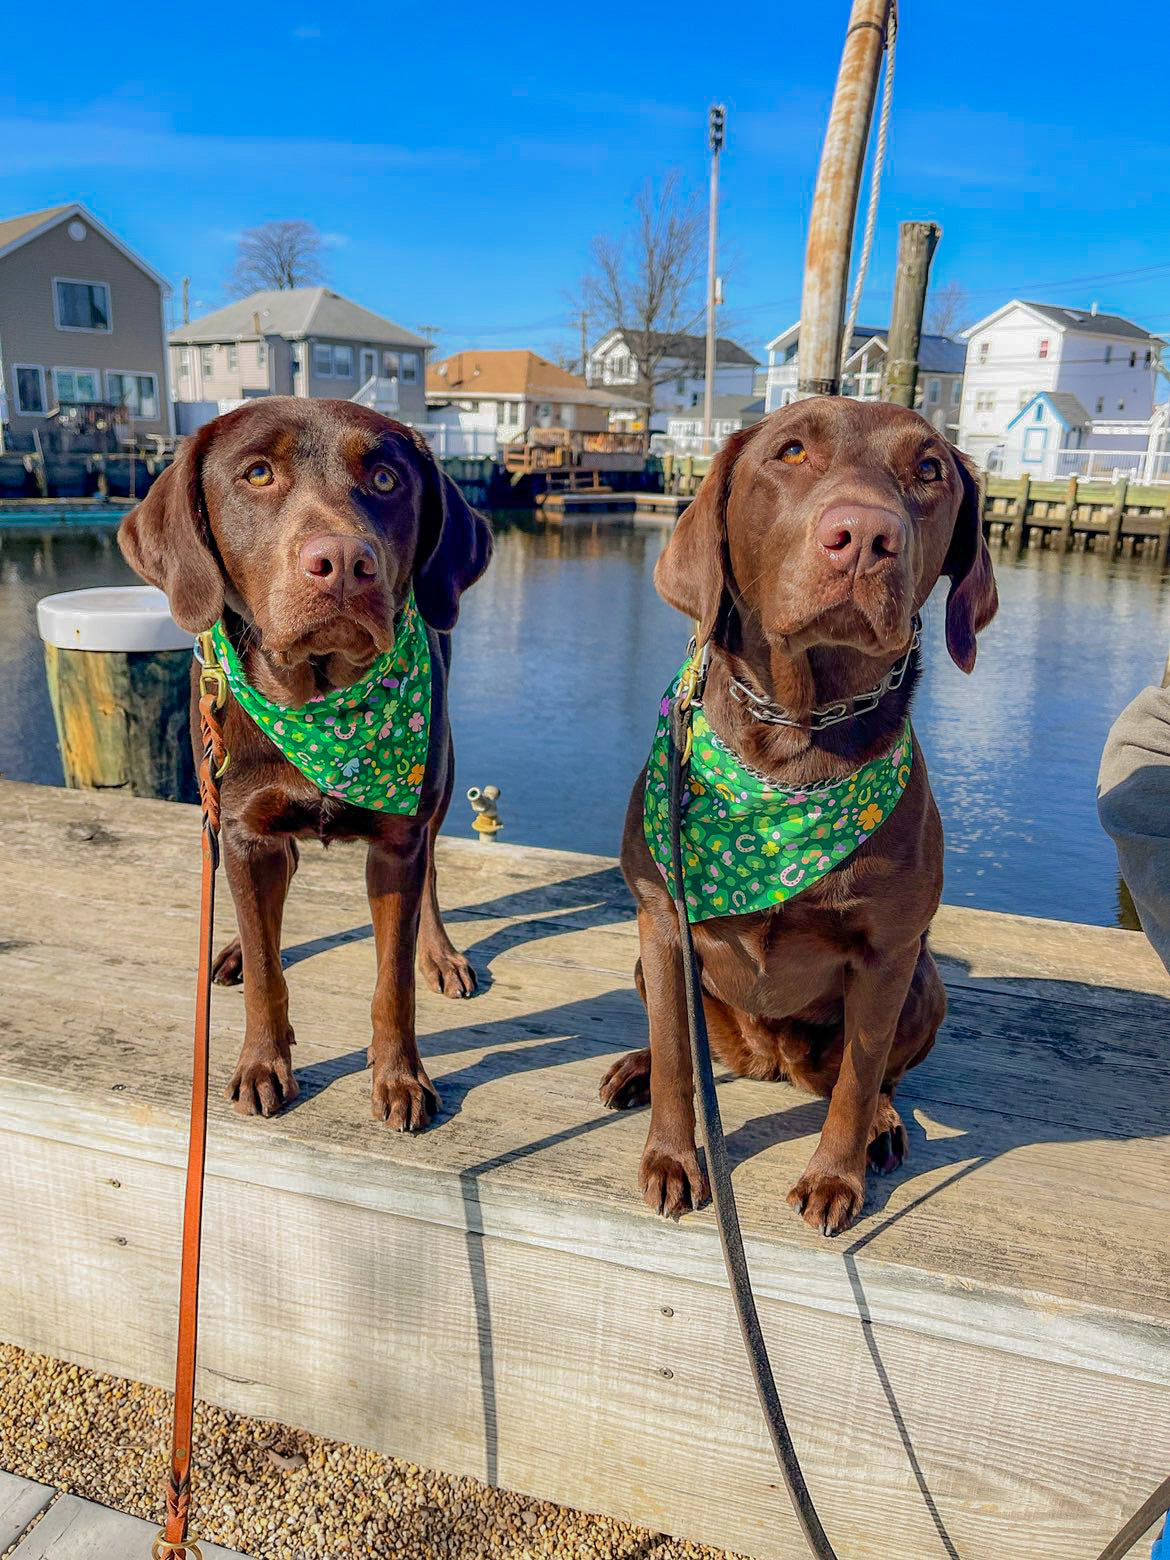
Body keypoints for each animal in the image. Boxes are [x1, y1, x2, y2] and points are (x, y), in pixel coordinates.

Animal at [115, 399, 489, 1135]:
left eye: (384, 479)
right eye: (257, 473)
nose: (343, 561)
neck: (319, 704)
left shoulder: (397, 841)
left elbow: (393, 979)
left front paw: (400, 1076)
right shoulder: (243, 829)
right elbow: (266, 971)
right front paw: (264, 1063)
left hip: (443, 776)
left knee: (433, 864)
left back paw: (439, 952)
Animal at [605, 396, 998, 1235]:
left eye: (929, 469)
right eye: (790, 452)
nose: (865, 535)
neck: (794, 748)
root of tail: (765, 1061)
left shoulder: (887, 954)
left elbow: (859, 1074)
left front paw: (834, 1175)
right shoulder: (661, 921)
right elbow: (678, 1058)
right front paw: (672, 1158)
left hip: (927, 983)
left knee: (878, 1077)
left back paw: (883, 1123)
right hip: (651, 964)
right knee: (682, 1045)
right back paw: (636, 1066)